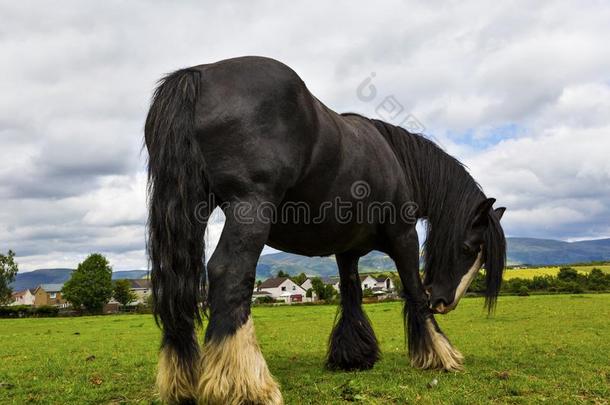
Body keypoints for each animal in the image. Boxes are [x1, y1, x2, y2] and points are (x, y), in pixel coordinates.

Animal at [145, 56, 506, 404]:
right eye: (469, 248)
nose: (445, 302)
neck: (395, 160)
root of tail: (199, 75)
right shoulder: (404, 236)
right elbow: (414, 290)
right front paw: (441, 354)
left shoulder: (347, 252)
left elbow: (351, 294)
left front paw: (353, 356)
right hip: (251, 209)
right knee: (228, 274)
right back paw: (245, 385)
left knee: (179, 285)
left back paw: (183, 382)